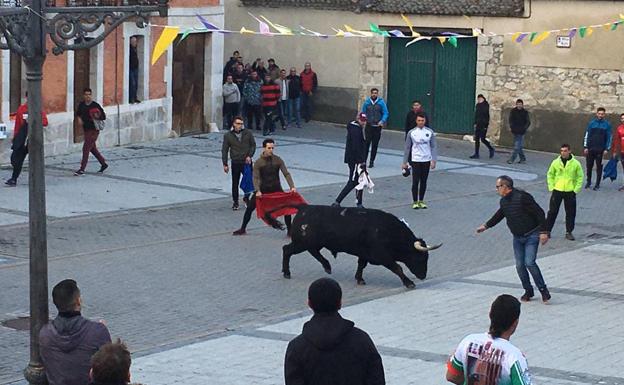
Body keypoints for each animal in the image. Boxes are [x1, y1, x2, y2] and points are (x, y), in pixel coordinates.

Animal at [264, 206, 444, 286]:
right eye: (421, 257)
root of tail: (304, 207)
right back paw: (288, 272)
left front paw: (359, 278)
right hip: (302, 243)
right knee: (287, 250)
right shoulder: (382, 256)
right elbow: (397, 268)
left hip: (311, 243)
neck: (388, 231)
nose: (423, 276)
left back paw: (327, 266)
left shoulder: (365, 254)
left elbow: (361, 265)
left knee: (312, 252)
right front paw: (408, 283)